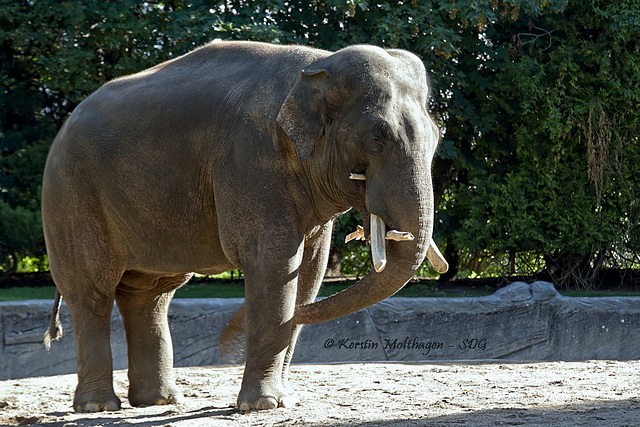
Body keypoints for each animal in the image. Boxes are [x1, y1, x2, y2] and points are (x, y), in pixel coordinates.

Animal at [42, 41, 448, 414]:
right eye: (376, 139)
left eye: (436, 138)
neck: (317, 65)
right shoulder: (250, 160)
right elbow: (272, 263)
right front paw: (265, 405)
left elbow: (309, 272)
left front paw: (283, 397)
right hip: (71, 196)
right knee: (92, 291)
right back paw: (99, 407)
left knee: (150, 294)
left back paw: (161, 401)